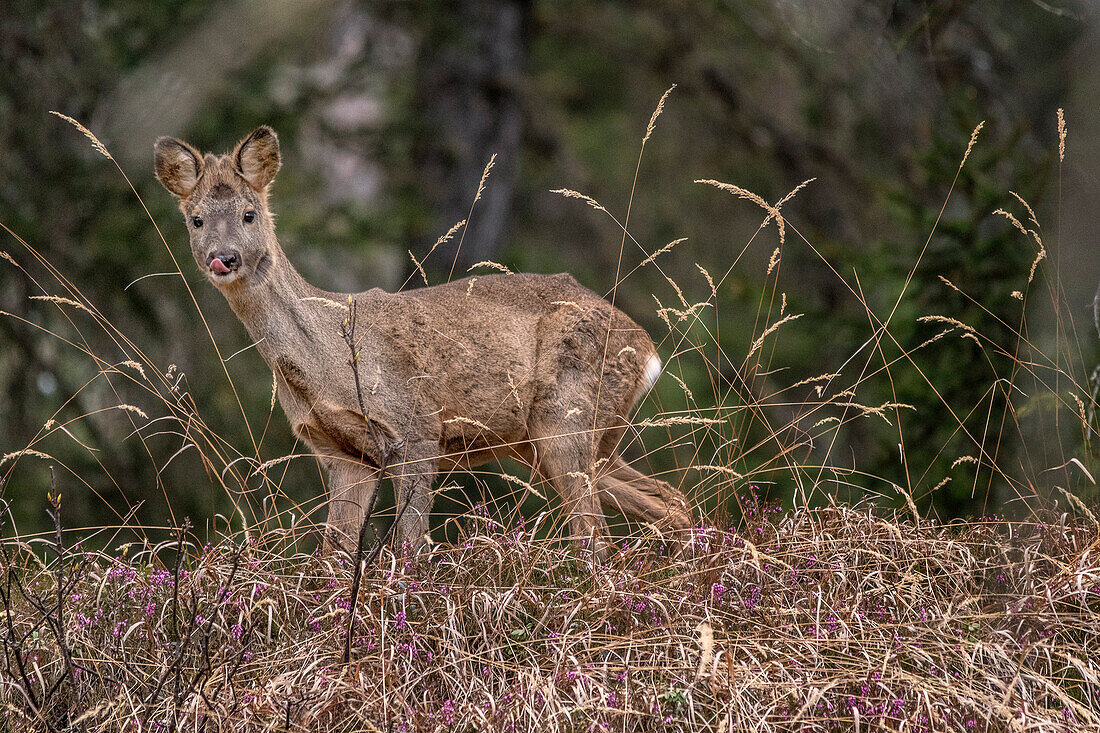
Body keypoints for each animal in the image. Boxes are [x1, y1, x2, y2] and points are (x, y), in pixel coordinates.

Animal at [155, 124, 686, 554]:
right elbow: (334, 554)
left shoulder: (416, 427)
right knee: (669, 501)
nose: (222, 258)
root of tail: (648, 349)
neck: (327, 360)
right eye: (196, 220)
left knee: (595, 534)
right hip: (560, 439)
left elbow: (409, 546)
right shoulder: (342, 453)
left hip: (566, 412)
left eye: (249, 213)